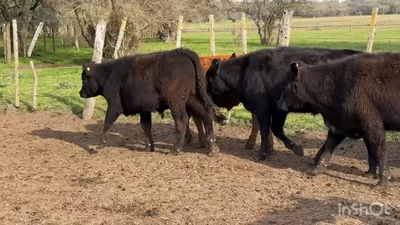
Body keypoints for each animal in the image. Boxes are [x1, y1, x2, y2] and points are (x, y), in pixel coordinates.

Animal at [79, 48, 227, 156]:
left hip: (176, 102)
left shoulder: (114, 105)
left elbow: (108, 122)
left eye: (84, 78)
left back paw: (176, 149)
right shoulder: (144, 109)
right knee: (205, 113)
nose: (80, 93)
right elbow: (146, 126)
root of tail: (181, 51)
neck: (109, 74)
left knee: (182, 120)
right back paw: (212, 147)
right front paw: (149, 146)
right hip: (192, 98)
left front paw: (101, 142)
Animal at [206, 46, 362, 161]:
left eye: (209, 78)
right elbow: (276, 130)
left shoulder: (263, 110)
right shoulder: (278, 111)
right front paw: (296, 148)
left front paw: (261, 154)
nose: (206, 93)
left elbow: (266, 130)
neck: (244, 72)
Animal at [278, 52, 400, 188]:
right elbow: (330, 145)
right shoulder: (341, 124)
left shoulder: (372, 124)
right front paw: (316, 169)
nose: (278, 105)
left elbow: (379, 148)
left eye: (285, 85)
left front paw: (382, 182)